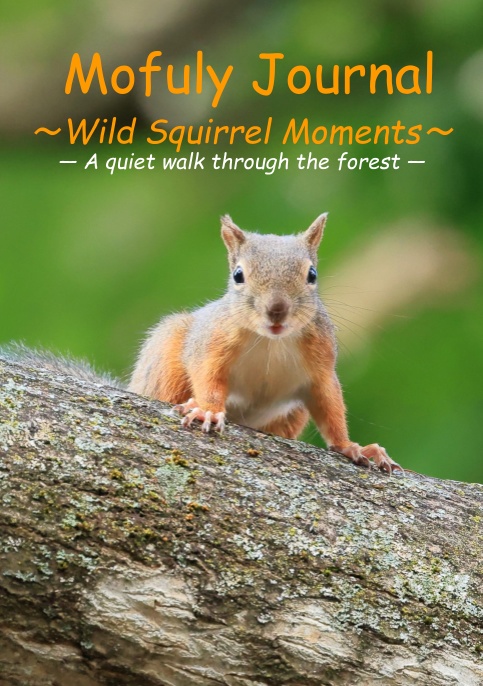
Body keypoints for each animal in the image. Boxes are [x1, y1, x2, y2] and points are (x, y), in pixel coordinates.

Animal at [128, 213, 401, 473]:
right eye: (238, 275)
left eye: (312, 274)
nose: (277, 310)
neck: (272, 342)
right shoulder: (211, 345)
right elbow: (208, 379)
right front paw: (208, 410)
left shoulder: (321, 367)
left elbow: (330, 407)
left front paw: (352, 447)